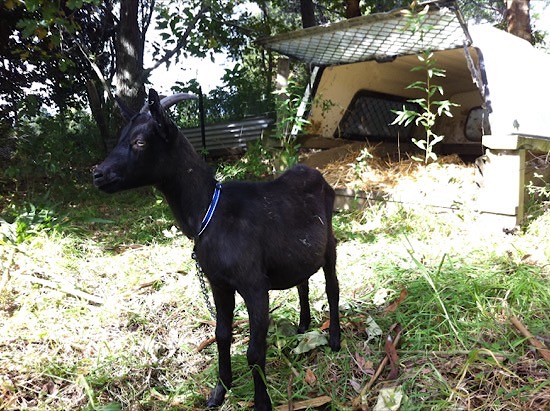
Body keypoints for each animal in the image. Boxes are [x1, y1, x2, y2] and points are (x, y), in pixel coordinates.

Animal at [95, 88, 340, 410]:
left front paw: (262, 403)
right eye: (122, 136)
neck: (210, 211)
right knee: (303, 282)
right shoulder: (218, 283)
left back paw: (335, 339)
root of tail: (315, 172)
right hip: (298, 253)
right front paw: (219, 390)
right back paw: (303, 324)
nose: (98, 174)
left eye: (140, 141)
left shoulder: (254, 285)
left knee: (332, 287)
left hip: (330, 243)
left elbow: (254, 351)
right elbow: (221, 335)